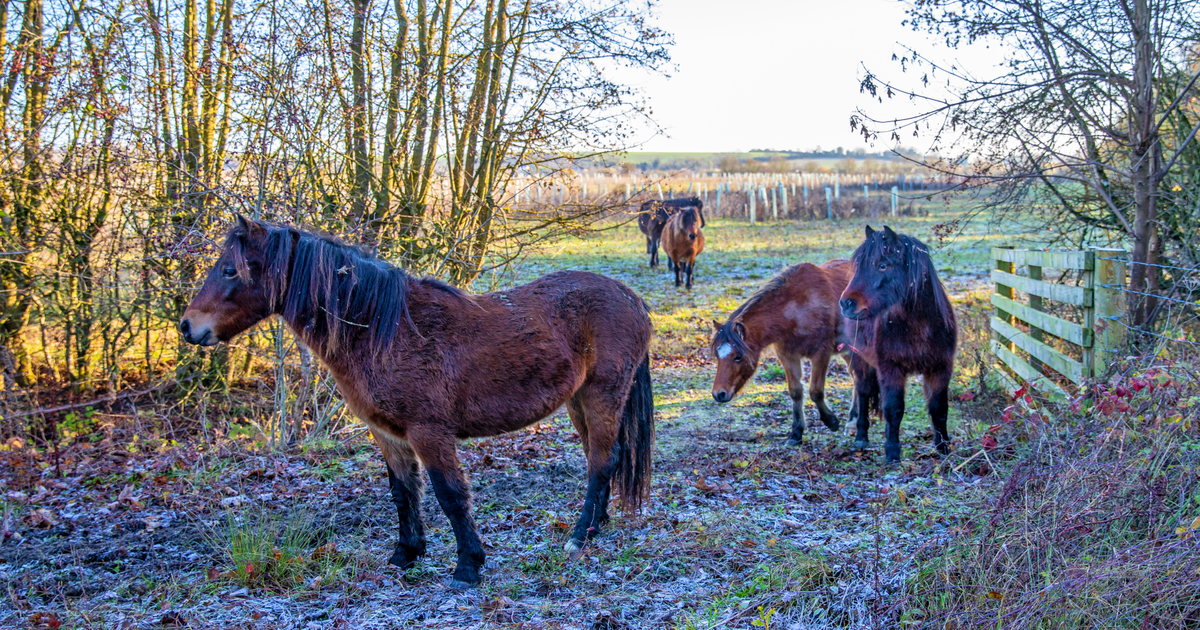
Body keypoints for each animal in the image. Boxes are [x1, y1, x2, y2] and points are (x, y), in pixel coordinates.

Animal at [179, 216, 655, 588]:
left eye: (229, 270)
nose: (187, 326)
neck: (383, 330)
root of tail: (631, 297)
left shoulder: (429, 432)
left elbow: (449, 494)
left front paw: (468, 566)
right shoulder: (387, 433)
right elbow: (403, 492)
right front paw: (406, 553)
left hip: (601, 396)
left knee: (601, 462)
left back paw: (579, 535)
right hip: (578, 402)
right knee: (605, 458)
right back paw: (596, 527)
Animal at [709, 259, 854, 445]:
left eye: (738, 357)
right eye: (717, 356)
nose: (718, 394)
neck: (798, 308)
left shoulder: (820, 355)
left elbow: (815, 391)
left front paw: (831, 421)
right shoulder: (787, 356)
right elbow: (795, 391)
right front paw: (796, 433)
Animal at [839, 225, 957, 463]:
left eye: (883, 265)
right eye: (859, 266)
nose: (846, 303)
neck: (921, 325)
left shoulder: (941, 368)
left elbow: (939, 409)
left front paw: (943, 448)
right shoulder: (891, 369)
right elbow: (894, 409)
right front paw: (893, 453)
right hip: (860, 361)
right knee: (863, 393)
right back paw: (861, 436)